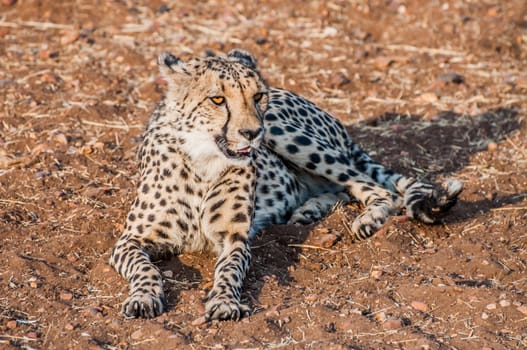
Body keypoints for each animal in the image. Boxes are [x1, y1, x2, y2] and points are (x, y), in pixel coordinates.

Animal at [110, 49, 462, 320]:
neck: (202, 162)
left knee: (375, 187)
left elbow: (230, 269)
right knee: (343, 188)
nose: (253, 133)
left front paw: (224, 301)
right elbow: (144, 268)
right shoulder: (129, 240)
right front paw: (143, 297)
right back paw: (308, 210)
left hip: (287, 134)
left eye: (257, 96)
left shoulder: (235, 238)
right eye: (217, 99)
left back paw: (367, 219)